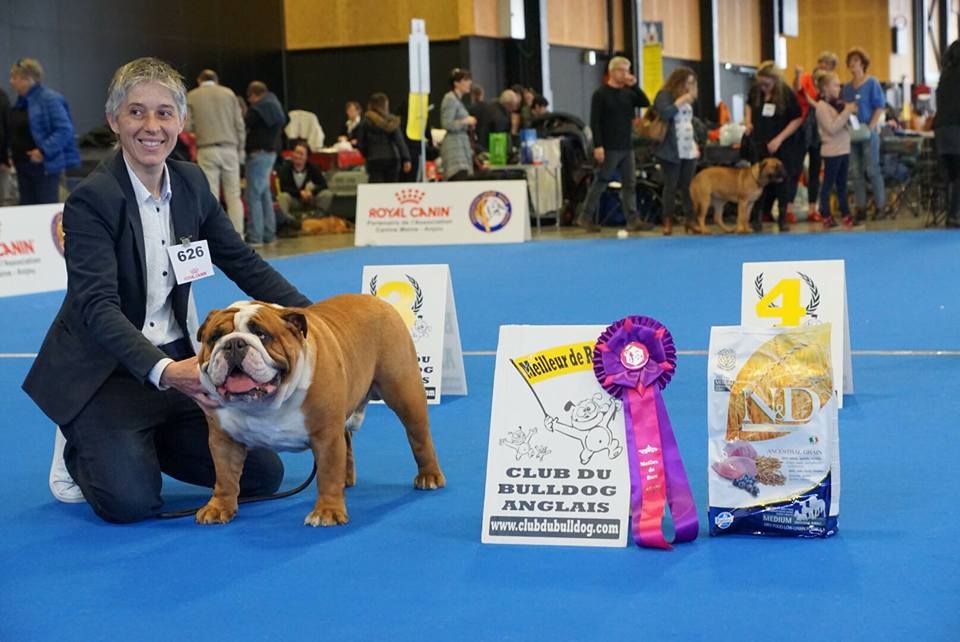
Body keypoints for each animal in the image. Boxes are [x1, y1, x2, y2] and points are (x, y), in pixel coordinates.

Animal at [194, 294, 445, 527]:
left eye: (262, 335)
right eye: (214, 337)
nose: (233, 344)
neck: (266, 404)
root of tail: (377, 301)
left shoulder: (326, 436)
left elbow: (328, 473)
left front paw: (327, 512)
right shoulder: (223, 440)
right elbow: (225, 476)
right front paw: (219, 507)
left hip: (405, 394)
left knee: (419, 436)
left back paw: (429, 476)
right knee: (348, 439)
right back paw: (346, 478)